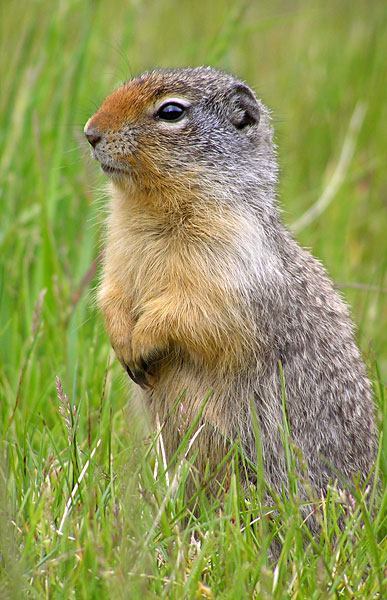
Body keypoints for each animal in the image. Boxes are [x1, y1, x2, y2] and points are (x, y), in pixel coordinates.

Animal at [85, 67, 378, 502]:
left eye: (171, 111)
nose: (90, 132)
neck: (149, 210)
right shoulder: (118, 259)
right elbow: (112, 295)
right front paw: (123, 341)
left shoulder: (230, 266)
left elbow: (196, 313)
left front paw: (143, 341)